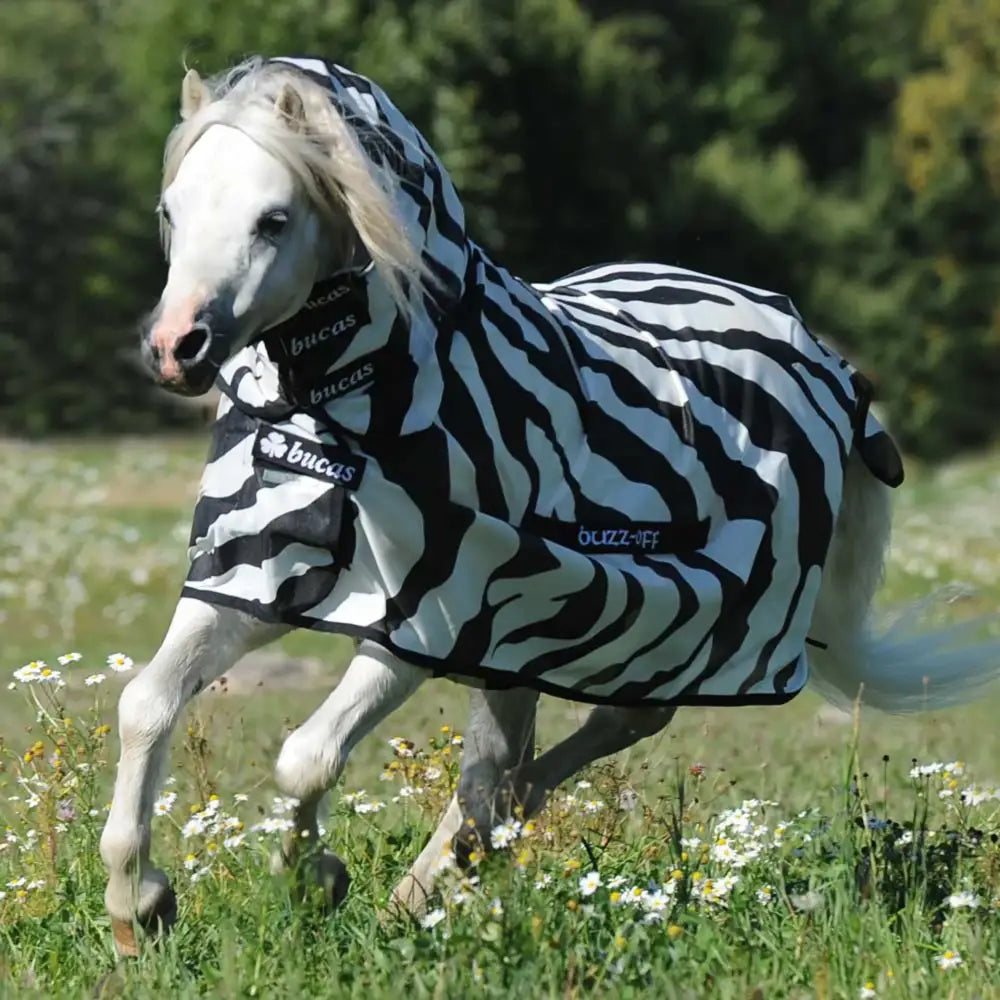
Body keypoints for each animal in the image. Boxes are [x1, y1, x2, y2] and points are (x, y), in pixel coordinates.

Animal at [100, 55, 1000, 956]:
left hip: (655, 618)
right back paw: (437, 879)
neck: (354, 405)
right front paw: (139, 903)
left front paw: (313, 879)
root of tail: (823, 360)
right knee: (504, 763)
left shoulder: (429, 612)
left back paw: (450, 865)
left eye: (274, 220)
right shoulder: (250, 572)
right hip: (531, 630)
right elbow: (145, 704)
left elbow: (307, 756)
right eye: (171, 212)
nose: (175, 349)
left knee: (593, 737)